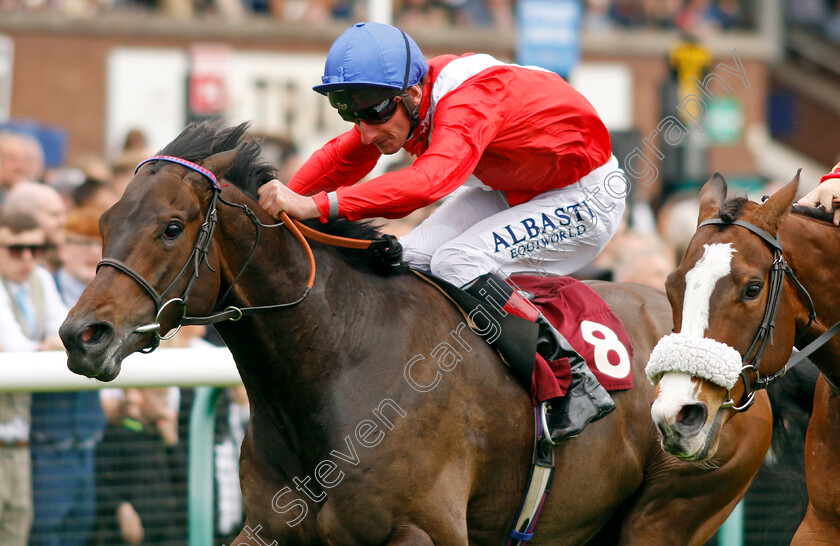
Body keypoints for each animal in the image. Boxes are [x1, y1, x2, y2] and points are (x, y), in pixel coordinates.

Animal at [59, 123, 772, 544]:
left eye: (171, 227)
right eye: (105, 220)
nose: (82, 335)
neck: (336, 359)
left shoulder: (424, 531)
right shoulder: (269, 529)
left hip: (673, 508)